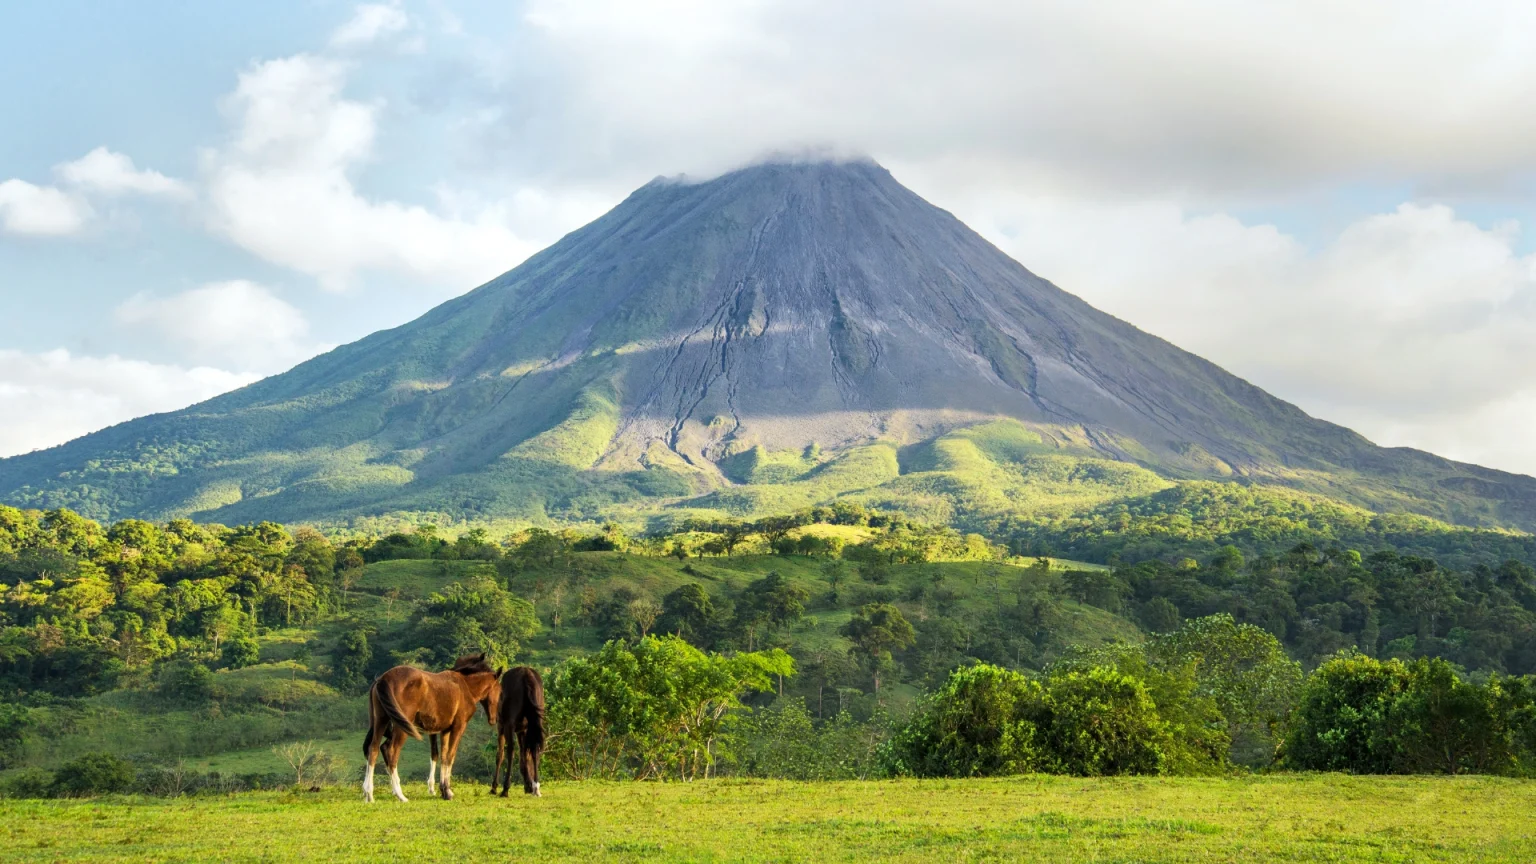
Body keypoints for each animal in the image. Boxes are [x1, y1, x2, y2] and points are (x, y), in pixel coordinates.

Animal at [362, 651, 500, 799]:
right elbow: (450, 756)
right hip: (401, 726)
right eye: (499, 690)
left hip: (381, 721)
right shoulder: (458, 727)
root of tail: (383, 679)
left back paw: (369, 794)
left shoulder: (444, 730)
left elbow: (442, 756)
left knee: (374, 749)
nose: (493, 719)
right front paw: (447, 792)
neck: (465, 686)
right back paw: (400, 795)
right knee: (391, 751)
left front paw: (444, 790)